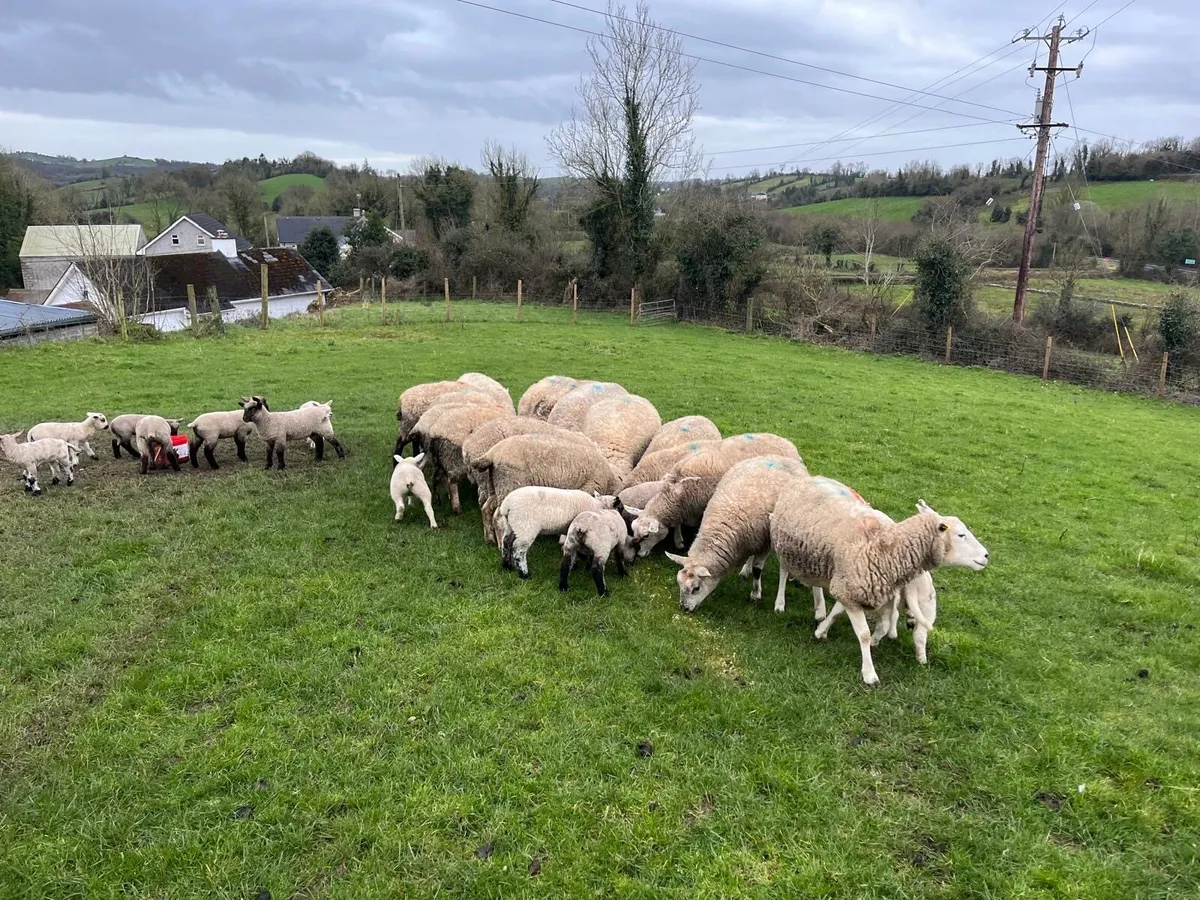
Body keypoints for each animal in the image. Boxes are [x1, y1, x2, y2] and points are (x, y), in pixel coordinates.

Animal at [472, 433, 622, 546]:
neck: (609, 480)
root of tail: (492, 453)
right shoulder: (588, 489)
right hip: (510, 484)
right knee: (498, 516)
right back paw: (500, 544)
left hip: (496, 485)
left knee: (486, 508)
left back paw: (489, 539)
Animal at [631, 433, 800, 558]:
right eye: (633, 530)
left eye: (646, 535)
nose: (639, 554)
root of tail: (790, 444)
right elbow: (678, 522)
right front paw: (679, 540)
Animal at [666, 455, 810, 612]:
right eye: (679, 583)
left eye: (696, 588)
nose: (684, 609)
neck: (727, 520)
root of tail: (783, 458)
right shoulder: (751, 538)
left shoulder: (764, 544)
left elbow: (757, 570)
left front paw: (755, 594)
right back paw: (745, 570)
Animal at [769, 477, 989, 684]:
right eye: (961, 535)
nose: (987, 555)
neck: (882, 548)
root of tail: (809, 478)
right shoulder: (850, 590)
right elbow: (864, 634)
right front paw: (869, 673)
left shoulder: (858, 589)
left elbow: (850, 615)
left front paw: (822, 631)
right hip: (786, 551)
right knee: (783, 573)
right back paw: (780, 603)